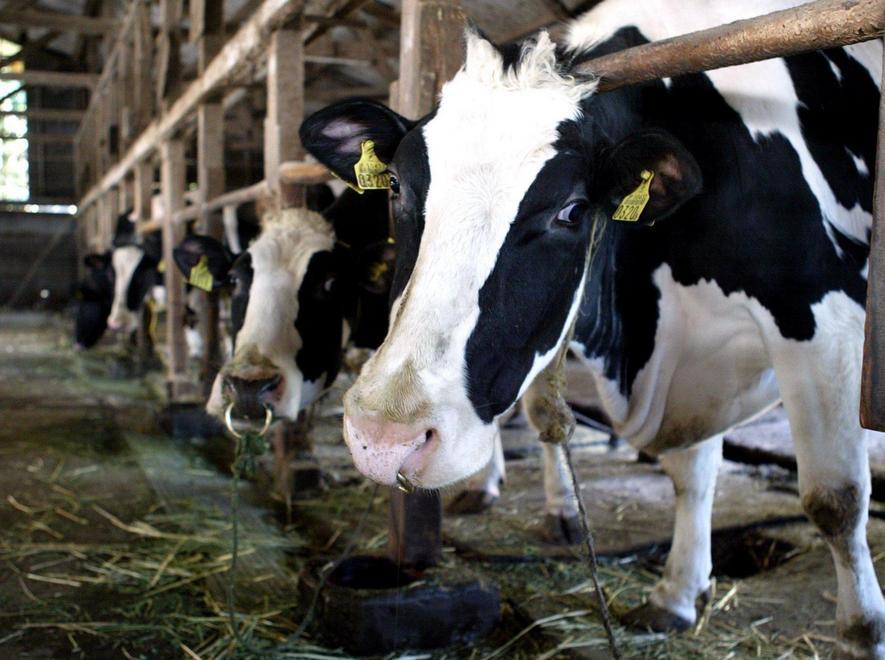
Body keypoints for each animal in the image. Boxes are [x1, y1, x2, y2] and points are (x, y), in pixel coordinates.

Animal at [299, 0, 884, 654]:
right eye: (397, 186)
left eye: (572, 210)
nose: (383, 436)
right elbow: (690, 472)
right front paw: (676, 595)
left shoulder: (825, 320)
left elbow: (835, 497)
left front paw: (864, 632)